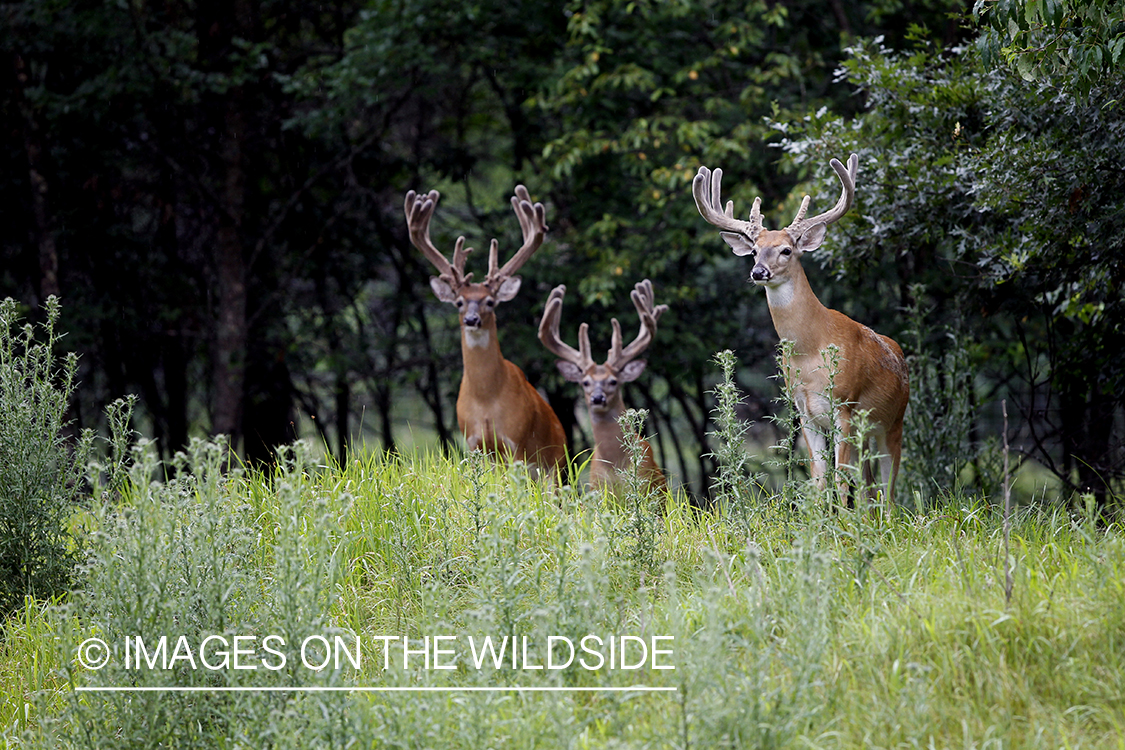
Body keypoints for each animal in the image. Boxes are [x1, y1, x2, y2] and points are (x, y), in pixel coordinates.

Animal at [405, 185, 567, 479]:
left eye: (490, 301)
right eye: (459, 302)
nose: (472, 320)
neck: (486, 400)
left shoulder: (516, 441)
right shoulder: (473, 442)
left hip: (556, 466)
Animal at [537, 278, 666, 494]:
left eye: (613, 381)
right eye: (585, 382)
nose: (597, 398)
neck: (615, 465)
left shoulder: (644, 484)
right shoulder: (595, 487)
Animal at [688, 154, 909, 503]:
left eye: (786, 250)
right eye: (754, 251)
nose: (759, 272)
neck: (809, 350)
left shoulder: (844, 405)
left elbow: (840, 481)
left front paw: (840, 519)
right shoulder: (804, 411)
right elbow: (819, 480)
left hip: (892, 422)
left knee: (887, 489)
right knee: (869, 486)